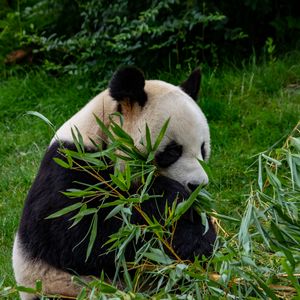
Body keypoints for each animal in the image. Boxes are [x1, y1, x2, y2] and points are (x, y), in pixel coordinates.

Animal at [13, 67, 216, 298]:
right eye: (173, 151)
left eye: (203, 149)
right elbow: (88, 240)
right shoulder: (70, 170)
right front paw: (169, 196)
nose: (198, 185)